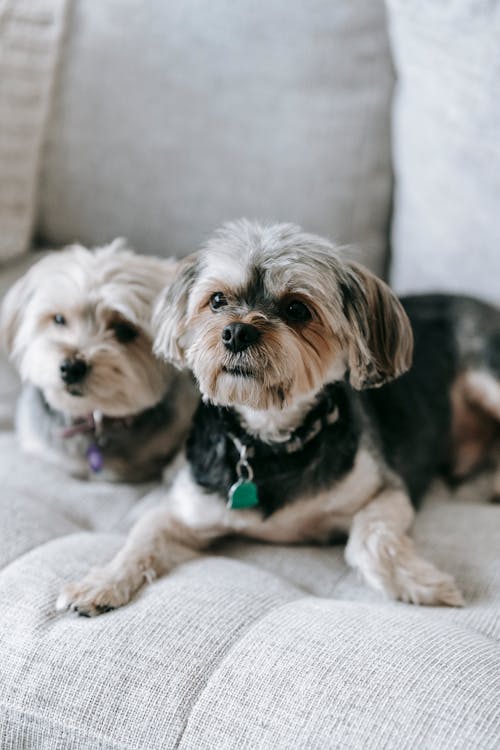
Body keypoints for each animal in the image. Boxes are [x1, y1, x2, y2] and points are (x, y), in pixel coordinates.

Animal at [56, 219, 498, 616]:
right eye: (217, 300)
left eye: (297, 308)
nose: (236, 332)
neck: (268, 438)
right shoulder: (187, 510)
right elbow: (142, 536)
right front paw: (101, 582)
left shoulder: (388, 490)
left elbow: (368, 538)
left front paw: (421, 583)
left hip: (487, 379)